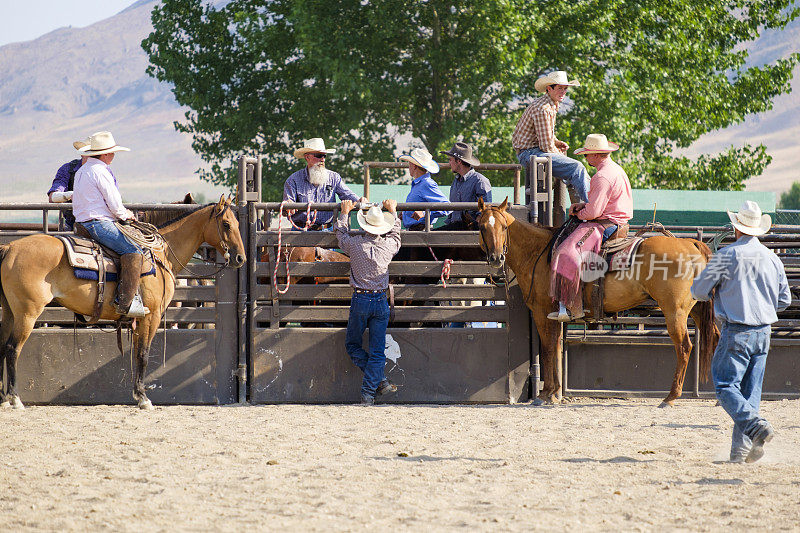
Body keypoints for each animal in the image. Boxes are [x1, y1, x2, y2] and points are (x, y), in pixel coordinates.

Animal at [0, 195, 244, 408]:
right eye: (226, 224)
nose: (240, 258)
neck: (159, 254)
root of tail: (10, 248)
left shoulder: (139, 319)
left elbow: (136, 352)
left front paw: (137, 393)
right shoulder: (152, 316)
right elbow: (143, 353)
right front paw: (143, 398)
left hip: (9, 312)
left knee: (3, 346)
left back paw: (3, 398)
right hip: (27, 313)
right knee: (12, 349)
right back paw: (15, 399)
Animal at [476, 197, 720, 406]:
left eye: (504, 227)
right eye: (481, 226)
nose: (496, 257)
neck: (538, 252)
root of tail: (691, 244)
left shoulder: (542, 312)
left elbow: (547, 349)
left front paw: (545, 394)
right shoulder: (552, 316)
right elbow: (555, 347)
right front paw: (554, 392)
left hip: (674, 311)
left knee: (684, 347)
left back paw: (670, 397)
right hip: (697, 309)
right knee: (716, 339)